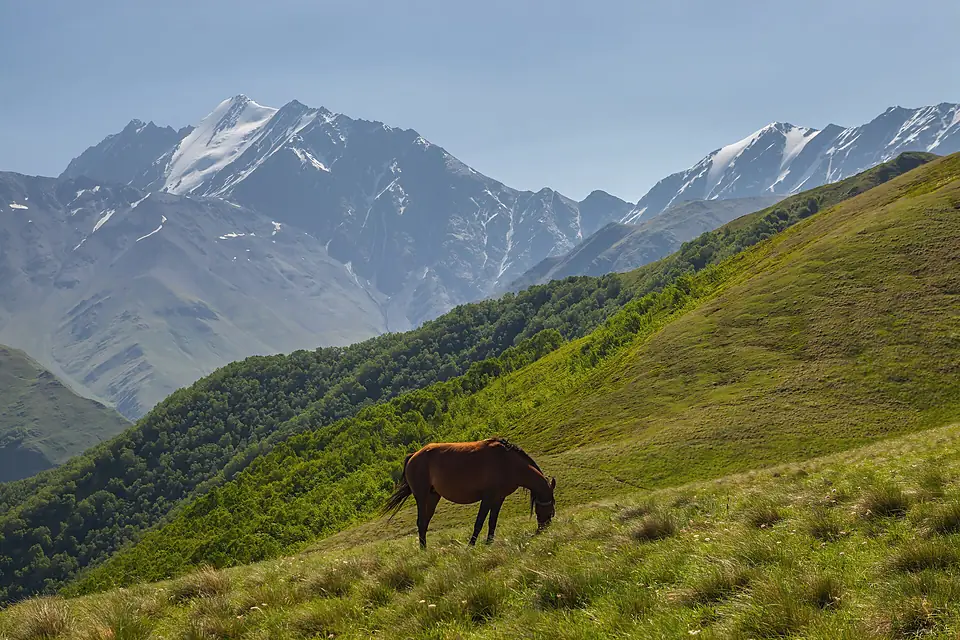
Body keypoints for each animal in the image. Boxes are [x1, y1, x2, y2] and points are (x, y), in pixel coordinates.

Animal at [381, 437, 556, 548]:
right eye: (551, 511)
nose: (543, 530)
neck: (508, 463)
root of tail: (413, 456)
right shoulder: (487, 498)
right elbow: (479, 522)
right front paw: (471, 546)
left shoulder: (498, 498)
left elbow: (492, 521)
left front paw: (489, 543)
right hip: (421, 495)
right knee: (420, 522)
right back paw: (423, 550)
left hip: (432, 497)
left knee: (424, 523)